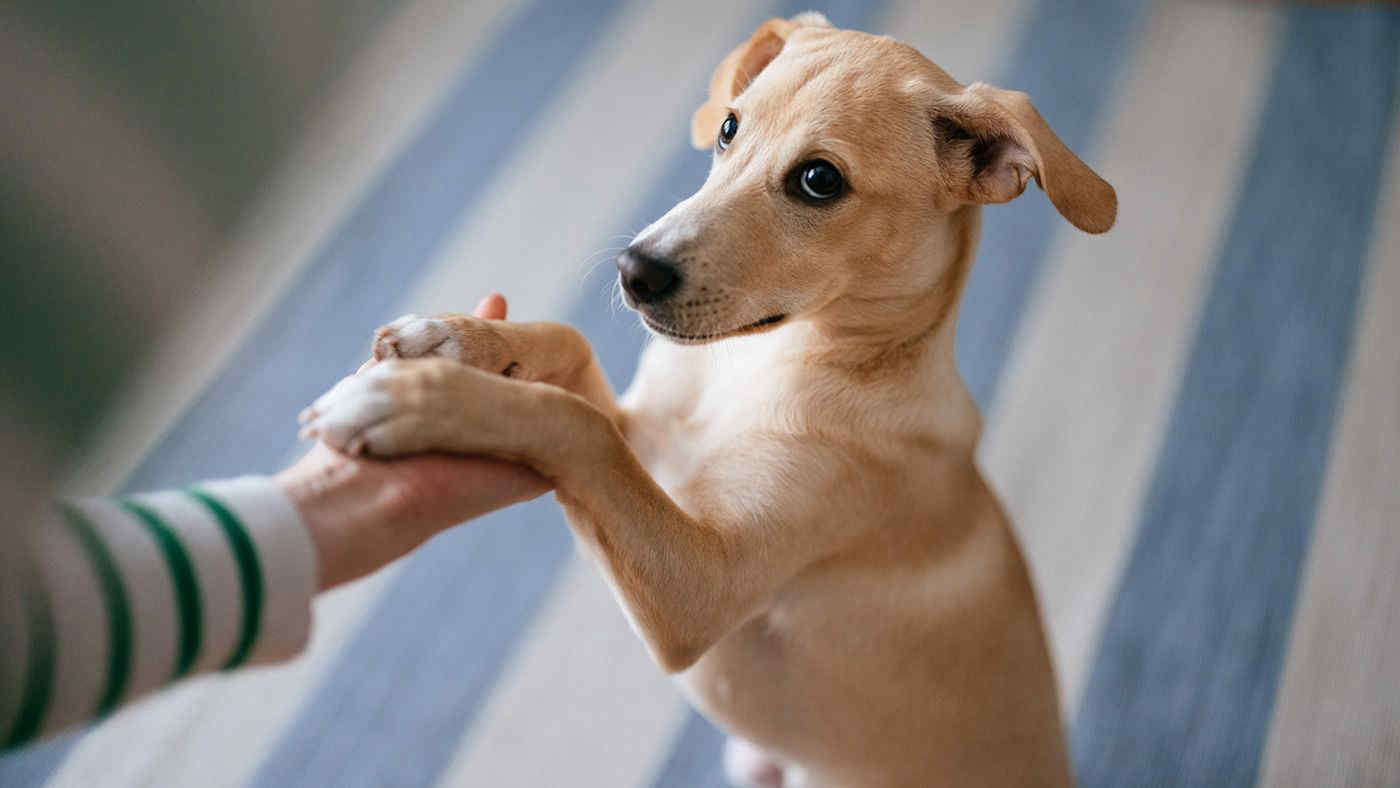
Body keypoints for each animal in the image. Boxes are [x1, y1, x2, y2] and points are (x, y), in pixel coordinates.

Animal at [298, 13, 1114, 788]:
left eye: (820, 180)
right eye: (728, 128)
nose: (632, 271)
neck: (759, 366)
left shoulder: (700, 589)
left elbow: (575, 423)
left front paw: (413, 402)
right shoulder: (651, 444)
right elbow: (572, 349)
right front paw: (452, 341)